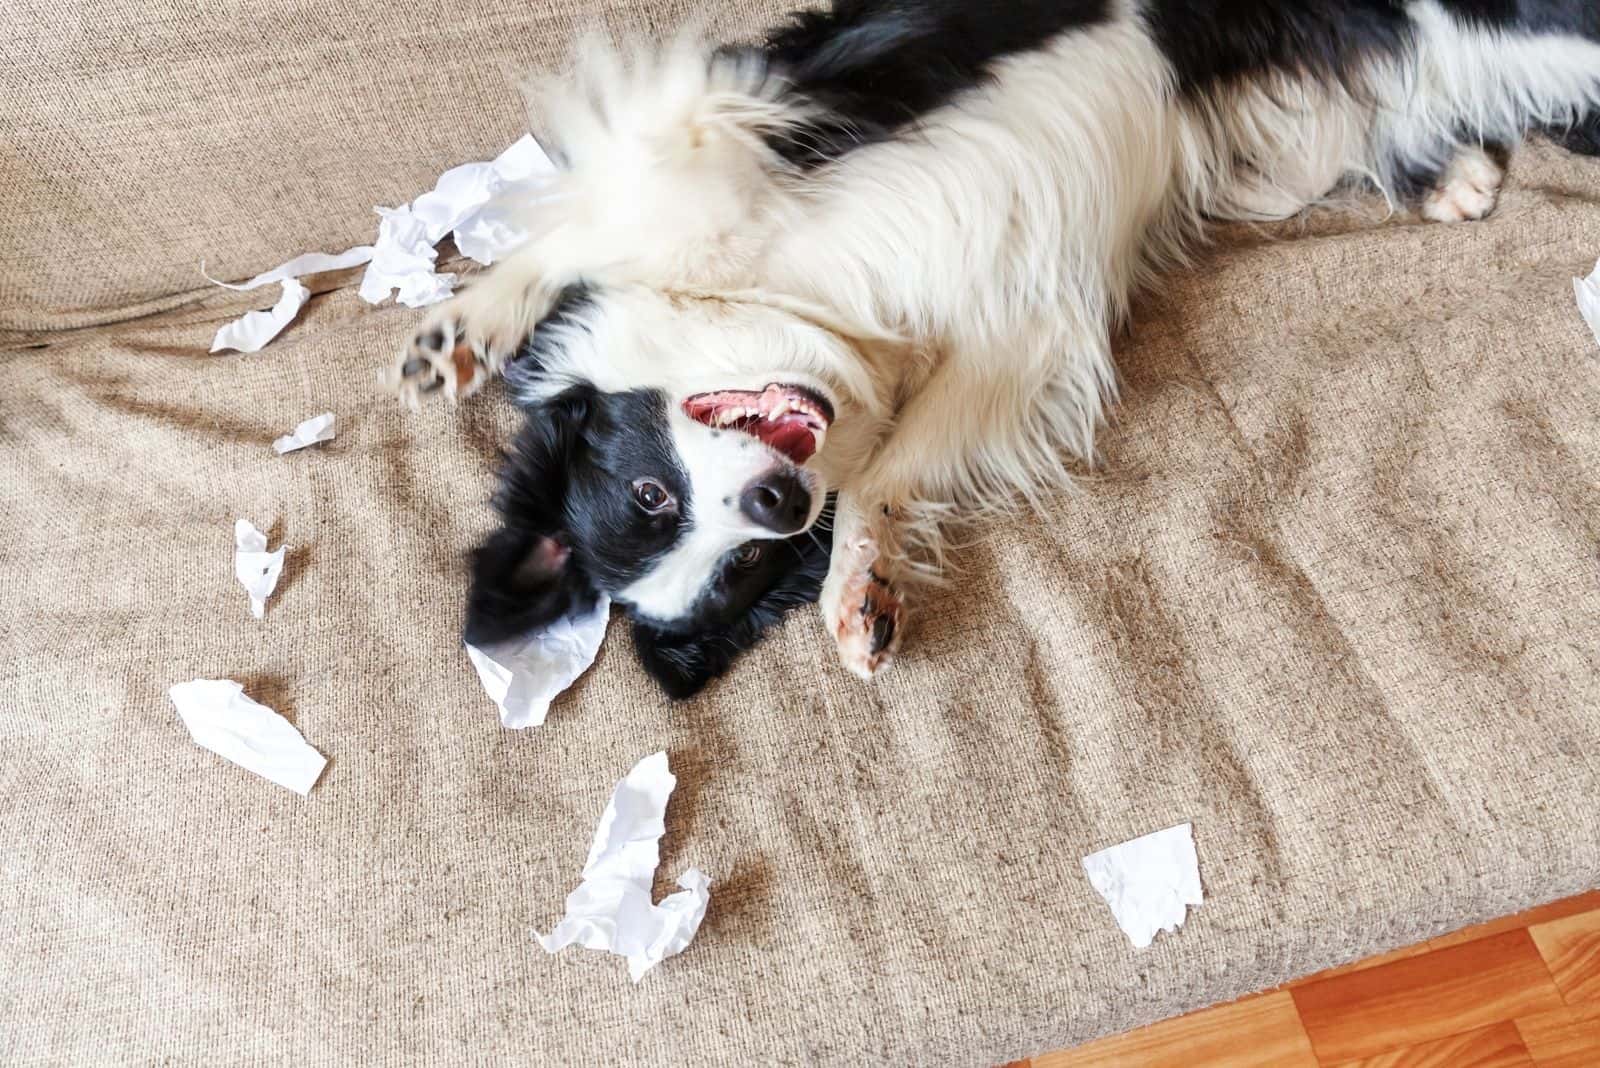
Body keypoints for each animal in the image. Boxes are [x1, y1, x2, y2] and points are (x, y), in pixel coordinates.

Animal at [387, 0, 1600, 697]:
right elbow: (890, 469)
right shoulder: (1014, 347)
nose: (780, 504)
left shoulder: (743, 113)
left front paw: (466, 324)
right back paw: (1449, 172)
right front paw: (859, 591)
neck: (798, 301)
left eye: (650, 493)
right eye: (741, 568)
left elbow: (596, 215)